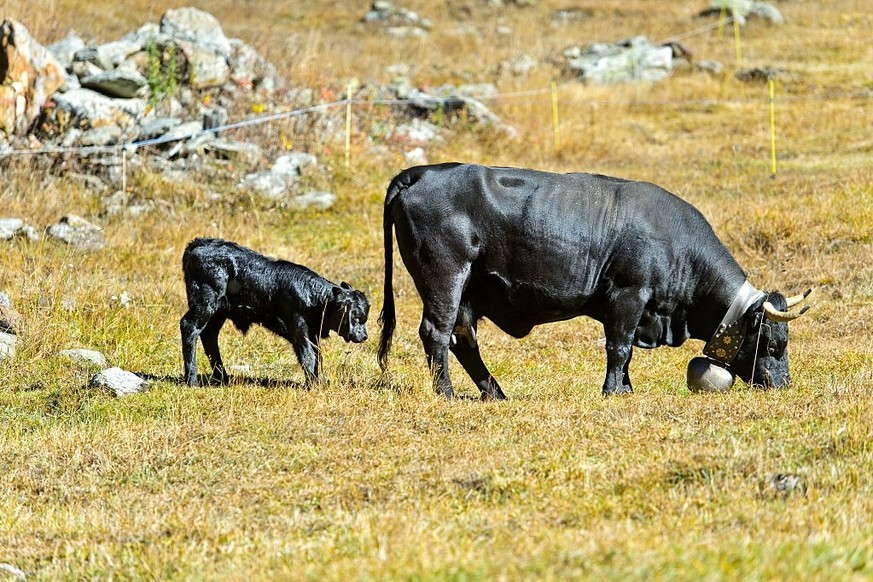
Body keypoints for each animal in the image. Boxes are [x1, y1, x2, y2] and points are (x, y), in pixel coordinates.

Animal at [180, 237, 370, 387]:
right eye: (357, 317)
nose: (364, 336)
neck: (314, 298)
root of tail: (197, 243)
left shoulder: (313, 333)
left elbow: (316, 356)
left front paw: (316, 382)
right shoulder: (299, 328)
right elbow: (308, 356)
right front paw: (312, 386)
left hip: (218, 312)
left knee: (209, 335)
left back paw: (222, 378)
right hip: (205, 303)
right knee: (189, 327)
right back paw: (192, 380)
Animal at [377, 163, 811, 400]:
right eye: (773, 343)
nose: (783, 385)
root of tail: (421, 172)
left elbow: (627, 352)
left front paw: (627, 389)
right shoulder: (628, 296)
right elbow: (619, 348)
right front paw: (613, 391)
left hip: (467, 293)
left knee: (463, 340)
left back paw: (495, 393)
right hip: (445, 279)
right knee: (437, 333)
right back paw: (447, 393)